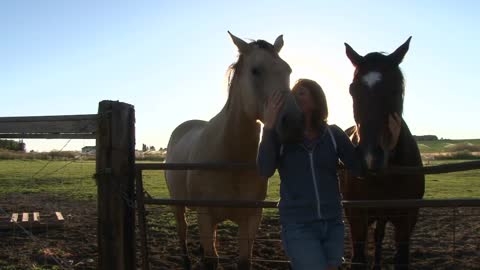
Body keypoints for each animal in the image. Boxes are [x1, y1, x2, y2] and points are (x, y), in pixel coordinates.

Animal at [164, 32, 300, 270]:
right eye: (255, 70)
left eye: (288, 70)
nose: (292, 122)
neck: (229, 159)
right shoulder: (205, 215)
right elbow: (211, 260)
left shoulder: (251, 218)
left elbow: (243, 260)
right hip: (177, 204)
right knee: (183, 230)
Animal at [340, 37, 426, 270]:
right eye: (352, 90)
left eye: (396, 89)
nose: (370, 158)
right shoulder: (357, 217)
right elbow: (358, 259)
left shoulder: (407, 219)